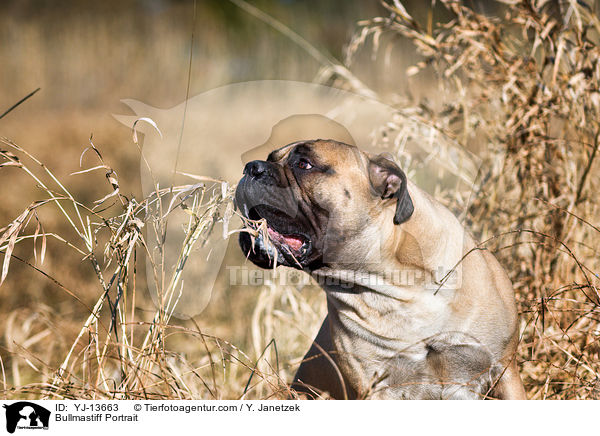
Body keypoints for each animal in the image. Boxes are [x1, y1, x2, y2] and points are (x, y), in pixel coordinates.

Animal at [234, 139, 524, 398]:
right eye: (270, 158)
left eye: (304, 164)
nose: (251, 167)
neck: (400, 286)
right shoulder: (375, 386)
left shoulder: (504, 370)